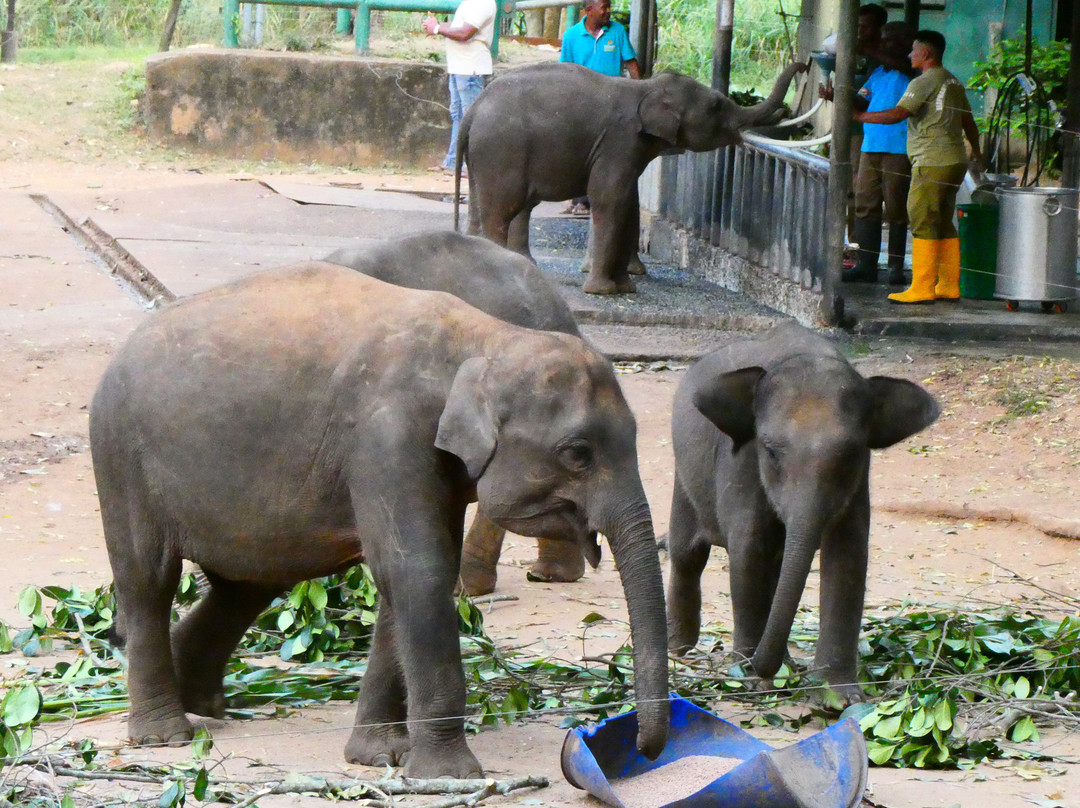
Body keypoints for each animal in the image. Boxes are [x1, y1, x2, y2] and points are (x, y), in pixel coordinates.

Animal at [453, 60, 806, 295]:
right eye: (717, 105)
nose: (804, 65)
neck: (647, 87)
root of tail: (473, 110)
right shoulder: (619, 142)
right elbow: (611, 199)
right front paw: (604, 292)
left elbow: (627, 203)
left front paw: (626, 288)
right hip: (504, 150)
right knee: (503, 209)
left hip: (484, 155)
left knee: (485, 205)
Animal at [664, 322, 939, 704]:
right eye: (769, 451)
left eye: (851, 455)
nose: (761, 666)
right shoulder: (742, 465)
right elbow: (749, 550)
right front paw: (754, 680)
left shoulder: (858, 485)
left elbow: (848, 556)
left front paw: (839, 698)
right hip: (684, 477)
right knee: (687, 554)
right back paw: (680, 651)